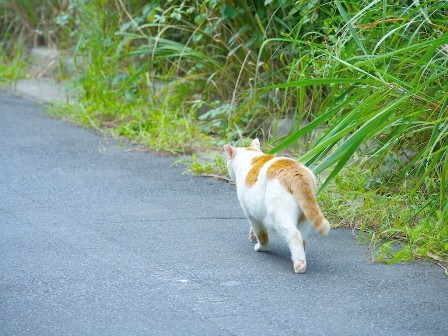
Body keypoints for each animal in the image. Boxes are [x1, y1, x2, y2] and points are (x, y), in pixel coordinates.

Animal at [223, 138, 330, 272]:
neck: (252, 156)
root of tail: (296, 172)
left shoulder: (251, 213)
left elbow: (261, 233)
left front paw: (262, 247)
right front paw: (252, 236)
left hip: (279, 215)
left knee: (294, 233)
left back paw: (299, 265)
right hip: (305, 217)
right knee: (302, 237)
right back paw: (297, 258)